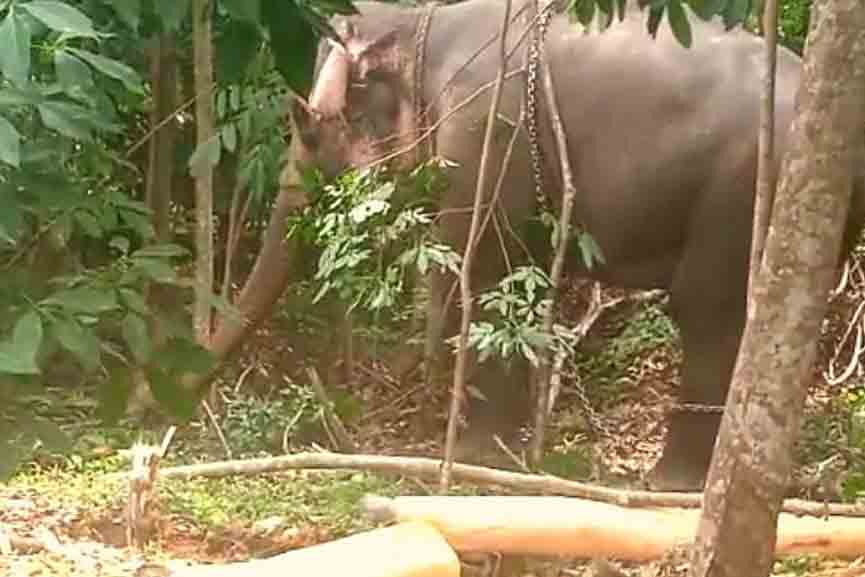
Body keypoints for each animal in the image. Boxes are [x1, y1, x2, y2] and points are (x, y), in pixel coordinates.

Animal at [274, 0, 865, 490]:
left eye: (311, 123)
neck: (418, 20)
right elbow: (517, 277)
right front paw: (504, 450)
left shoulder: (480, 132)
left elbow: (478, 270)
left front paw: (474, 454)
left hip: (740, 190)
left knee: (707, 312)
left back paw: (670, 483)